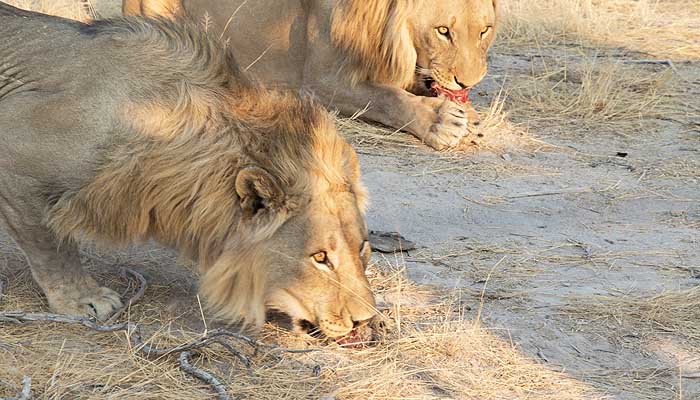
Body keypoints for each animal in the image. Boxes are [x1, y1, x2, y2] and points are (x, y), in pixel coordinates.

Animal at [0, 2, 378, 340]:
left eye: (363, 247)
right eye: (319, 257)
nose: (365, 320)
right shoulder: (15, 144)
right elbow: (52, 244)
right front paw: (82, 299)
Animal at [123, 0, 500, 150]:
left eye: (485, 31)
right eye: (443, 31)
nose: (468, 83)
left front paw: (471, 116)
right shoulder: (321, 79)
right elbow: (387, 98)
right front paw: (444, 122)